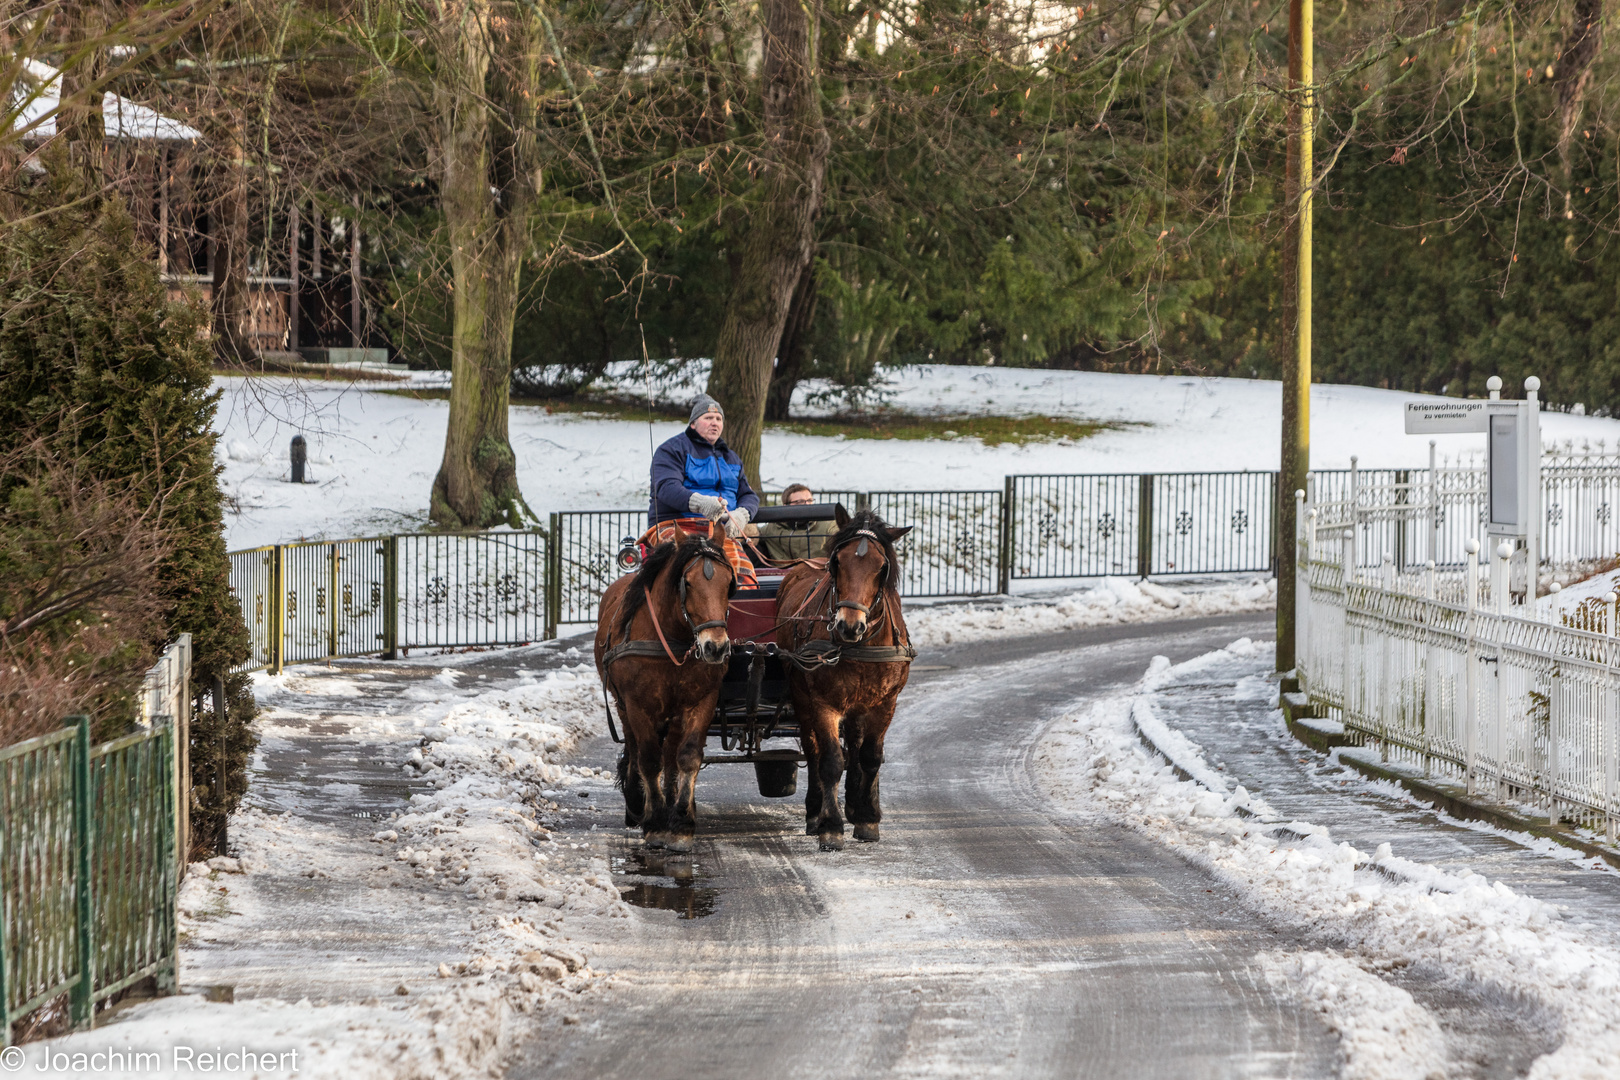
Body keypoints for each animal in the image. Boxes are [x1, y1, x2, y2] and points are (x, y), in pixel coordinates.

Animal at [596, 524, 735, 854]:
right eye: (687, 582)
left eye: (729, 583)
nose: (715, 647)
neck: (674, 638)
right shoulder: (638, 705)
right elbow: (648, 759)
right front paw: (656, 823)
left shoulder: (702, 701)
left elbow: (687, 757)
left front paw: (682, 822)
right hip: (623, 706)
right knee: (636, 748)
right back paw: (638, 802)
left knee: (671, 755)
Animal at [774, 508, 913, 854]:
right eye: (837, 562)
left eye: (882, 567)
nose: (850, 625)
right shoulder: (823, 703)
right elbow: (831, 761)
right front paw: (830, 826)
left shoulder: (885, 703)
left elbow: (870, 756)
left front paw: (866, 818)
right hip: (801, 695)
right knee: (813, 750)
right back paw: (815, 812)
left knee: (856, 746)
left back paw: (855, 803)